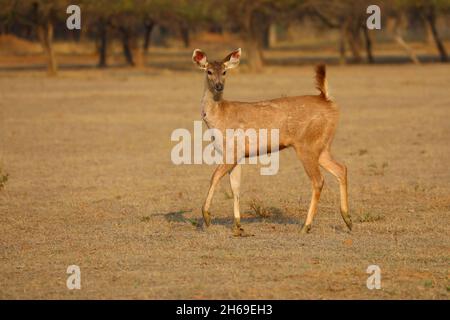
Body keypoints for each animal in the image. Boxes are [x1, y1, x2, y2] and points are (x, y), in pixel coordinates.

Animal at [191, 48, 352, 236]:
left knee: (318, 180)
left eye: (224, 72)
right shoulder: (237, 155)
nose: (218, 86)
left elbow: (214, 177)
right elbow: (235, 188)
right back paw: (348, 220)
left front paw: (207, 216)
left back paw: (306, 226)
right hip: (322, 146)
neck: (219, 117)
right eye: (209, 71)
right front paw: (237, 226)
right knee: (341, 168)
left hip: (307, 145)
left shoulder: (232, 151)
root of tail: (327, 99)